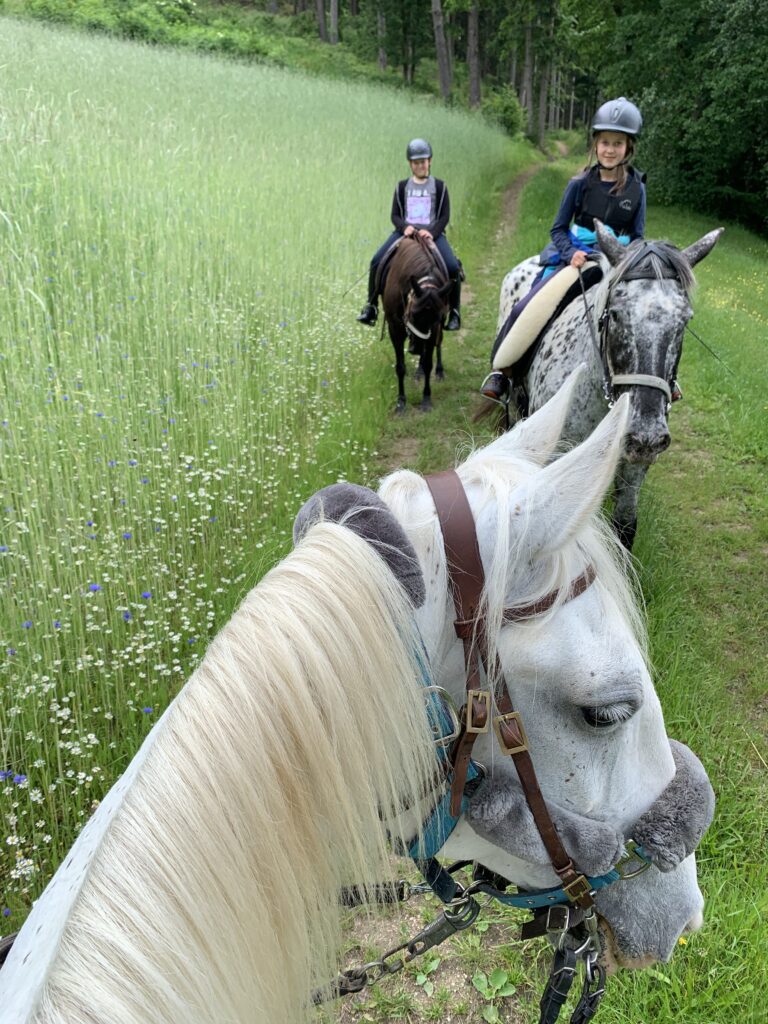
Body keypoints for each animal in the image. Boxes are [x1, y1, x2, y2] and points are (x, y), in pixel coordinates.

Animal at [382, 235, 454, 415]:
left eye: (436, 317)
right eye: (414, 314)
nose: (416, 349)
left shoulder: (434, 327)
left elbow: (428, 364)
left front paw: (426, 399)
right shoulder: (394, 328)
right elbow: (400, 367)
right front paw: (401, 403)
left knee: (438, 344)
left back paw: (439, 371)